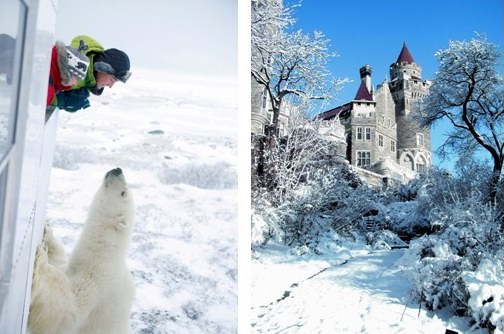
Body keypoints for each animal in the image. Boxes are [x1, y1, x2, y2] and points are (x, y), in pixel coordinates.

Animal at [28, 168, 135, 332]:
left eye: (124, 193)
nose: (117, 169)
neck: (101, 252)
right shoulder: (74, 265)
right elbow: (61, 262)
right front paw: (48, 231)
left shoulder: (98, 281)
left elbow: (69, 311)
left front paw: (41, 262)